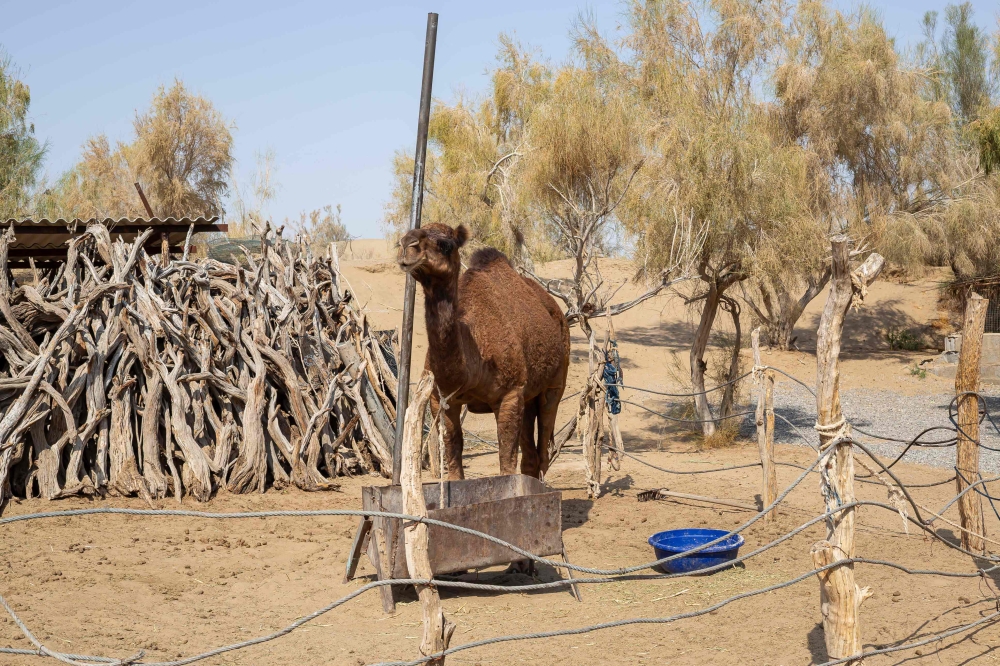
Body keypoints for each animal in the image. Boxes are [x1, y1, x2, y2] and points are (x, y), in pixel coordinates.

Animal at [397, 223, 570, 480]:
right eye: (403, 238)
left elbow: (506, 462)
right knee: (531, 455)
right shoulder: (441, 399)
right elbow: (453, 457)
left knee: (544, 444)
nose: (407, 245)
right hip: (528, 396)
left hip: (555, 382)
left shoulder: (509, 395)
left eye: (445, 244)